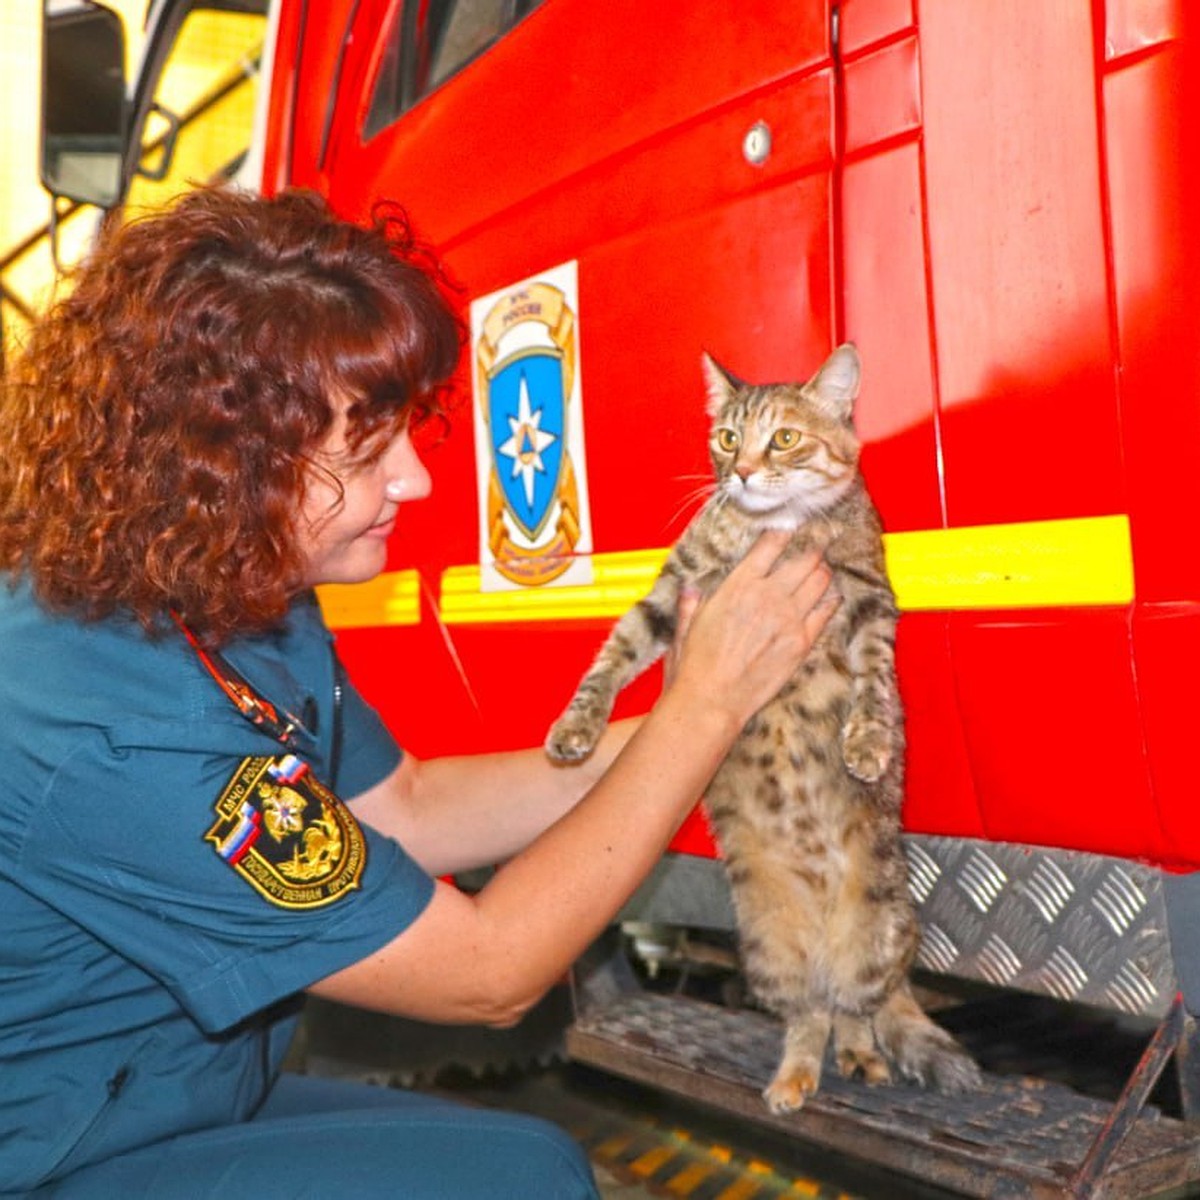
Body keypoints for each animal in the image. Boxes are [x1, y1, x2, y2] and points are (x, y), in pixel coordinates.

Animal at [544, 348, 974, 1113]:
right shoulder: (669, 594)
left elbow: (874, 678)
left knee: (852, 1008)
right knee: (810, 1013)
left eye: (785, 439)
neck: (775, 533)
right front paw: (576, 725)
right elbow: (612, 656)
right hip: (770, 952)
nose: (741, 471)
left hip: (877, 942)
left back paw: (861, 1056)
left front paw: (868, 741)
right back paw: (793, 1078)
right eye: (725, 439)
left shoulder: (869, 600)